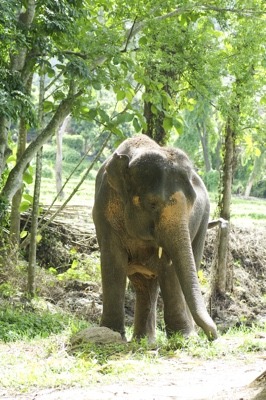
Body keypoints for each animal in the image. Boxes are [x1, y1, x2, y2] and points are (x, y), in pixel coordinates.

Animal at [92, 134, 217, 340]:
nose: (213, 335)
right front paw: (110, 333)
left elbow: (171, 267)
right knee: (144, 284)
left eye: (191, 205)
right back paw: (144, 341)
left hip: (203, 221)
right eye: (152, 203)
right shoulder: (103, 211)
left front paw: (185, 338)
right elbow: (112, 262)